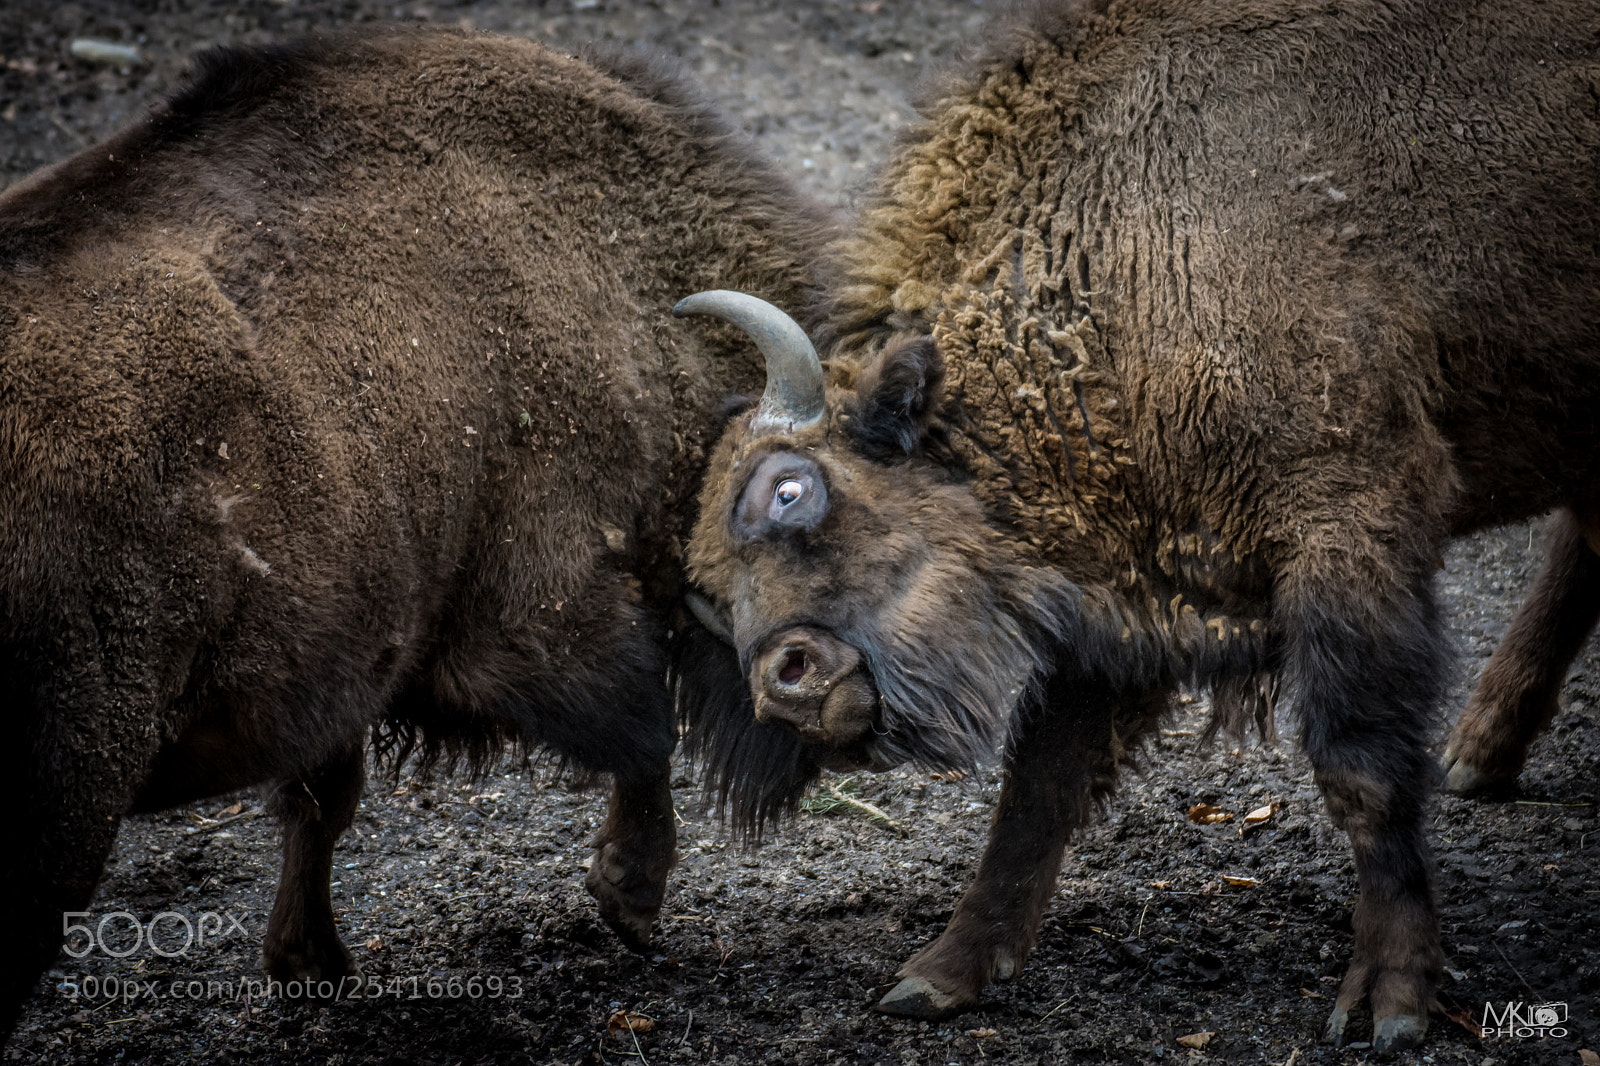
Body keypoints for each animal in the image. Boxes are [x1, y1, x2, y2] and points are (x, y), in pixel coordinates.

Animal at [0, 26, 831, 1035]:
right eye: (804, 502)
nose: (822, 705)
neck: (616, 276)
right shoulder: (535, 616)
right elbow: (642, 731)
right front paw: (628, 897)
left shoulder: (341, 652)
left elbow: (323, 801)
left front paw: (308, 965)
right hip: (68, 800)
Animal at [674, 0, 1600, 1054]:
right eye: (706, 601)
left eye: (791, 489)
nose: (783, 684)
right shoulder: (1111, 609)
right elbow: (1036, 790)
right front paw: (938, 978)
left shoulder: (1350, 531)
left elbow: (1358, 769)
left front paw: (1393, 1003)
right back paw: (1479, 756)